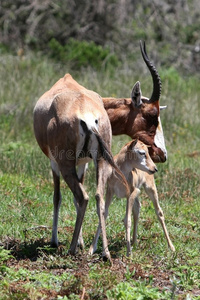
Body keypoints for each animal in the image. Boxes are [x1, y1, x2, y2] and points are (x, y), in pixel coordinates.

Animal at [33, 74, 127, 262]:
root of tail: (88, 119)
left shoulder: (55, 164)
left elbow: (57, 197)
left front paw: (55, 241)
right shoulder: (84, 163)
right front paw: (82, 243)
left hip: (66, 166)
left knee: (83, 197)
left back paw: (71, 249)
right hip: (101, 161)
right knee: (99, 196)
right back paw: (105, 253)